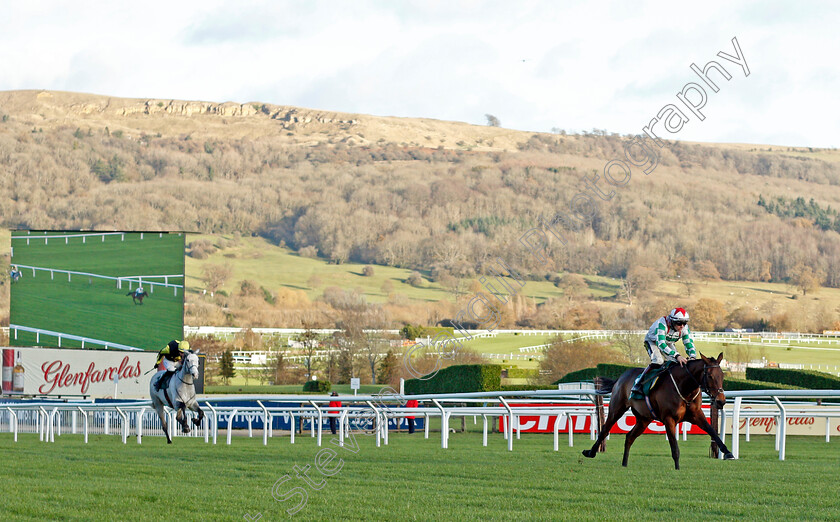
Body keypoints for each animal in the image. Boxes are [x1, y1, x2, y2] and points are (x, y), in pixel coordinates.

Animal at [580, 352, 732, 470]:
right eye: (710, 376)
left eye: (722, 376)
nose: (721, 401)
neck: (684, 387)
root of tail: (621, 377)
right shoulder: (669, 419)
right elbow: (675, 448)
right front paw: (677, 469)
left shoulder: (697, 415)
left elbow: (713, 432)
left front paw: (728, 453)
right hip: (617, 408)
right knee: (605, 429)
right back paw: (591, 452)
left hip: (644, 419)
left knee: (629, 437)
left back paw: (624, 464)